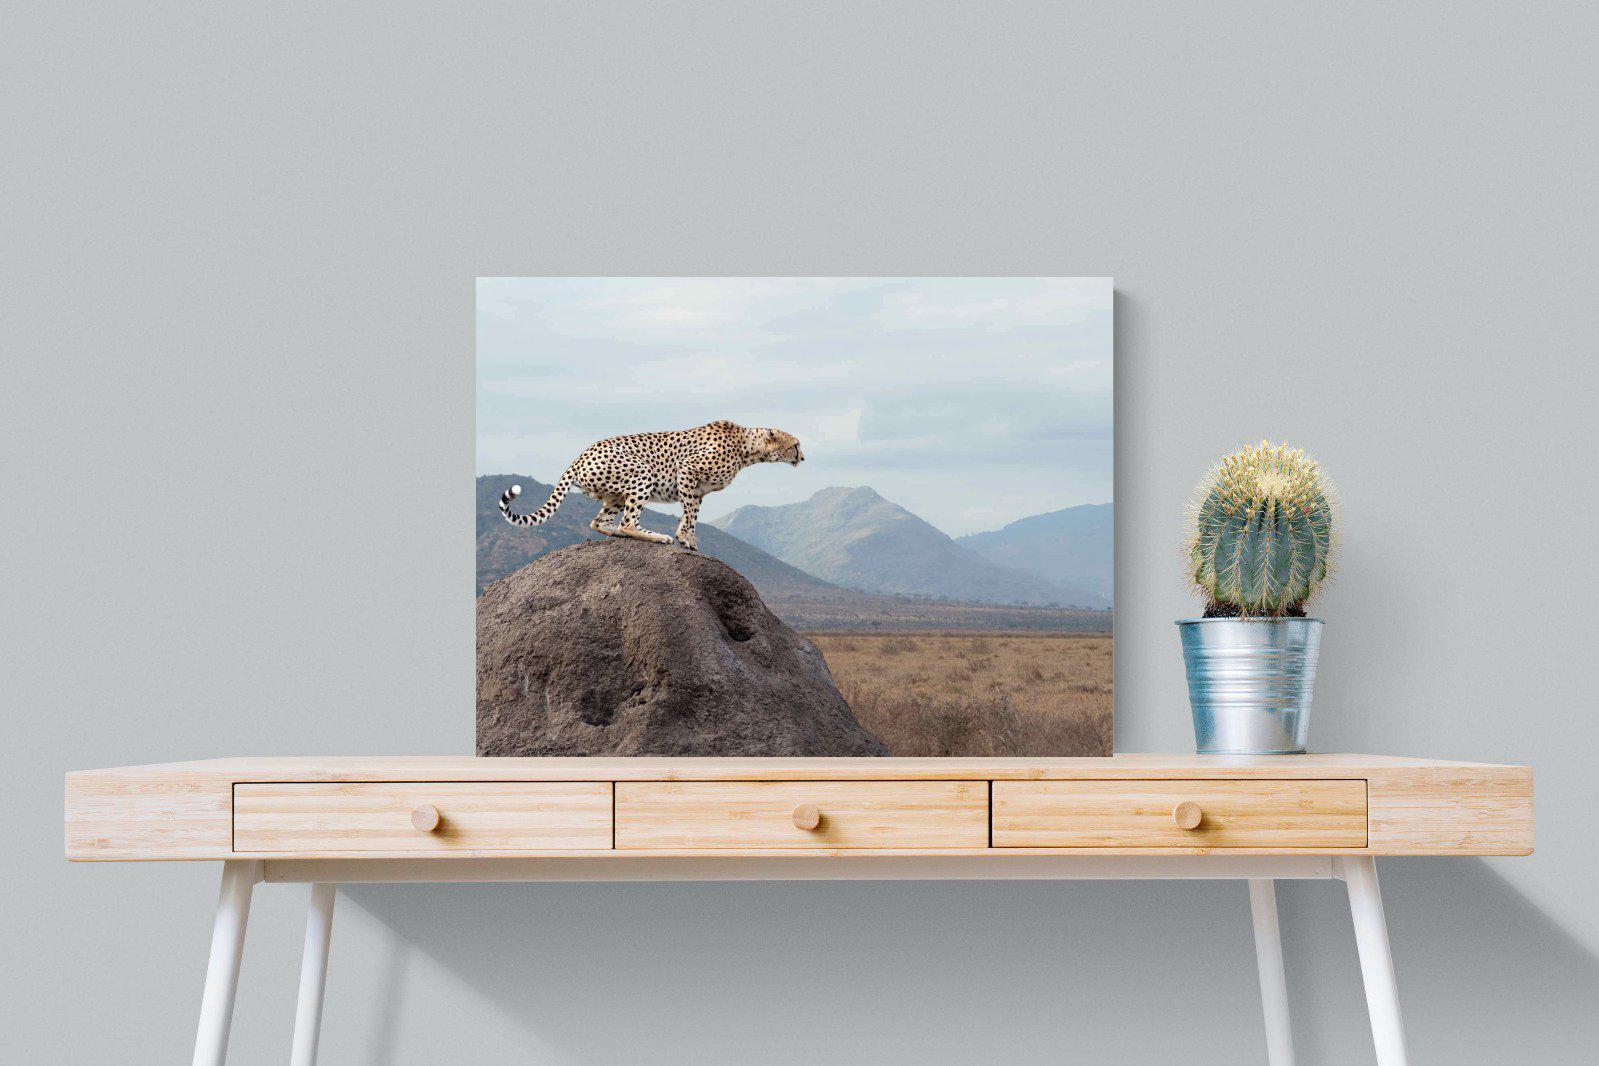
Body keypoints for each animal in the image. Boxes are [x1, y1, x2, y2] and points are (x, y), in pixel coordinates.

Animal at [499, 420, 804, 551]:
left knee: (599, 522)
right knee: (627, 522)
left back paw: (619, 534)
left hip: (615, 494)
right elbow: (689, 515)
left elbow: (692, 516)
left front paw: (691, 541)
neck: (746, 448)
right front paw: (683, 538)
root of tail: (581, 454)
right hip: (642, 473)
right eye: (795, 444)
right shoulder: (687, 470)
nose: (803, 457)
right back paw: (656, 537)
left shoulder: (698, 490)